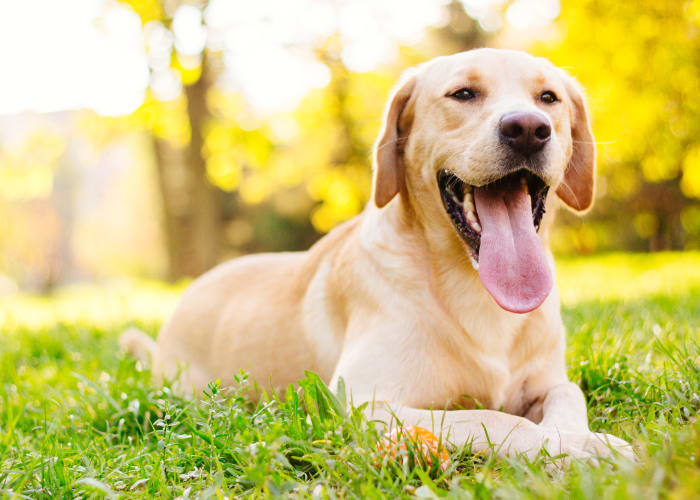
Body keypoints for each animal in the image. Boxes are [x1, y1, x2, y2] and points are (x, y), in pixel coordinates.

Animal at [120, 49, 636, 460]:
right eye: (463, 94)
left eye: (549, 98)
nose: (528, 128)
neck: (473, 285)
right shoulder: (365, 402)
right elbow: (494, 419)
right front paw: (577, 446)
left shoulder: (548, 381)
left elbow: (568, 395)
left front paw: (579, 437)